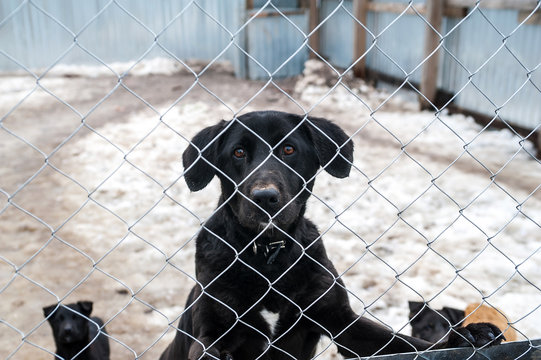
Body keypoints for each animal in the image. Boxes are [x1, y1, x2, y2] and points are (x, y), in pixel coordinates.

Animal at [160, 111, 502, 358]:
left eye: (289, 149)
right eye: (239, 152)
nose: (265, 198)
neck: (268, 257)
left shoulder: (343, 323)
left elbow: (410, 346)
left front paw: (467, 336)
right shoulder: (213, 329)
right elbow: (208, 350)